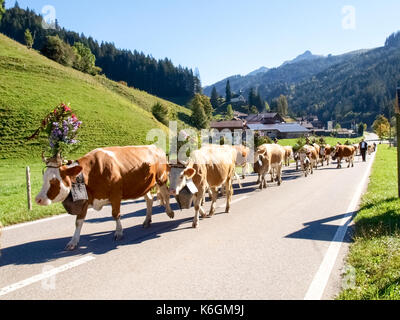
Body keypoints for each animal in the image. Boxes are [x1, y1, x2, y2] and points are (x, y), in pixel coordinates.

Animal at [36, 145, 174, 250]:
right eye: (43, 178)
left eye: (53, 181)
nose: (38, 199)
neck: (91, 173)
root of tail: (155, 147)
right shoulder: (85, 200)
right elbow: (78, 222)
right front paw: (73, 242)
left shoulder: (115, 195)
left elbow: (115, 214)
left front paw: (118, 232)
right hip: (144, 186)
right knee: (149, 200)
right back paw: (147, 220)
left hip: (161, 178)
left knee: (166, 195)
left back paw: (169, 212)